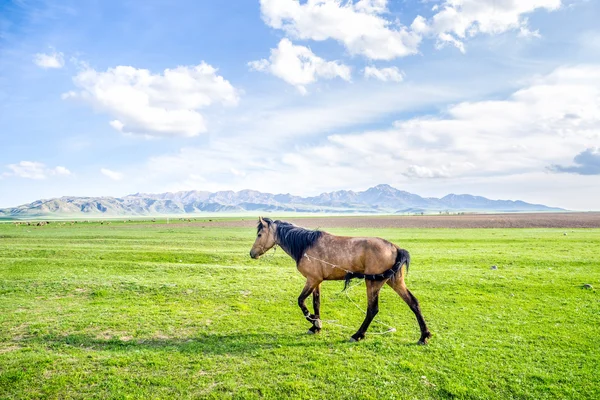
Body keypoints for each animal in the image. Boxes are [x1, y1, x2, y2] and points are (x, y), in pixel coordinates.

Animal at [250, 216, 432, 344]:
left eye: (259, 234)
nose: (252, 254)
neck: (306, 245)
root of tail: (396, 248)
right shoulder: (317, 281)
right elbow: (316, 303)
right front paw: (316, 326)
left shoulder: (311, 280)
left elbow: (301, 301)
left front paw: (314, 321)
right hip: (394, 281)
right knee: (413, 303)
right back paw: (424, 336)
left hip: (373, 283)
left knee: (372, 309)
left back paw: (357, 335)